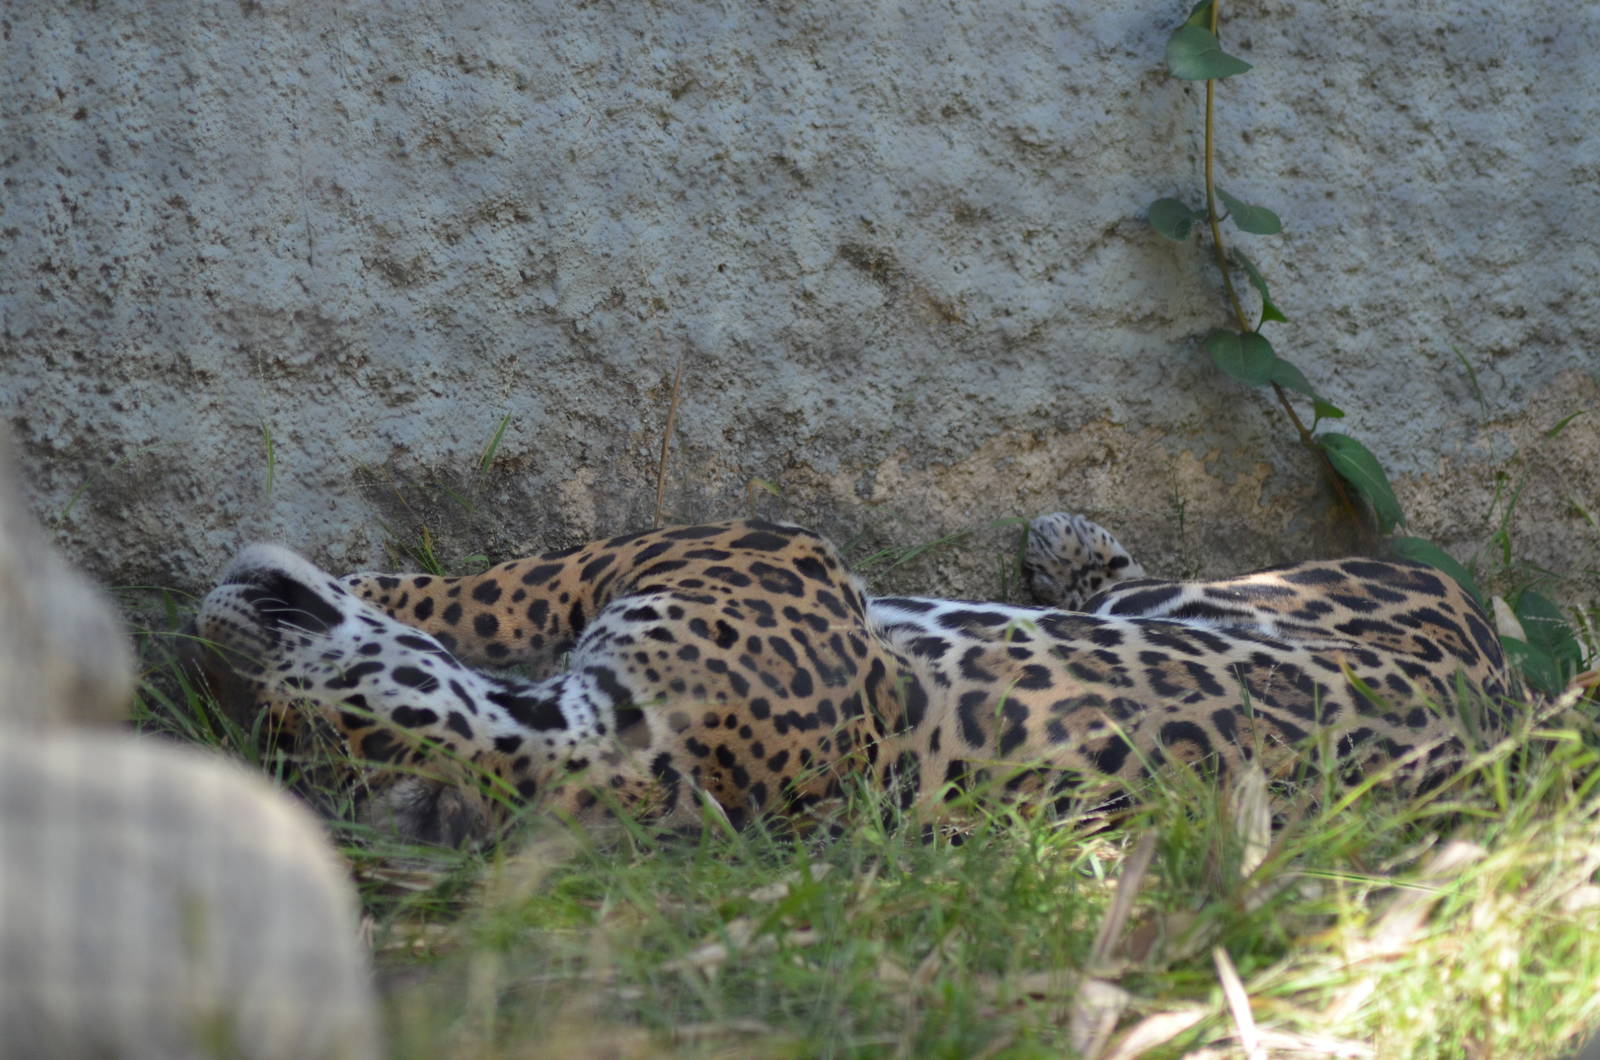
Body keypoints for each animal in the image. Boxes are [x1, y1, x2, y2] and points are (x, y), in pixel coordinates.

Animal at [191, 513, 1516, 844]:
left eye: (295, 725)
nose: (217, 617)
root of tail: (1509, 712)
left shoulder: (733, 544)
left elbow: (512, 582)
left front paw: (370, 579)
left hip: (1287, 592)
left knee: (1136, 584)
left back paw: (1064, 536)